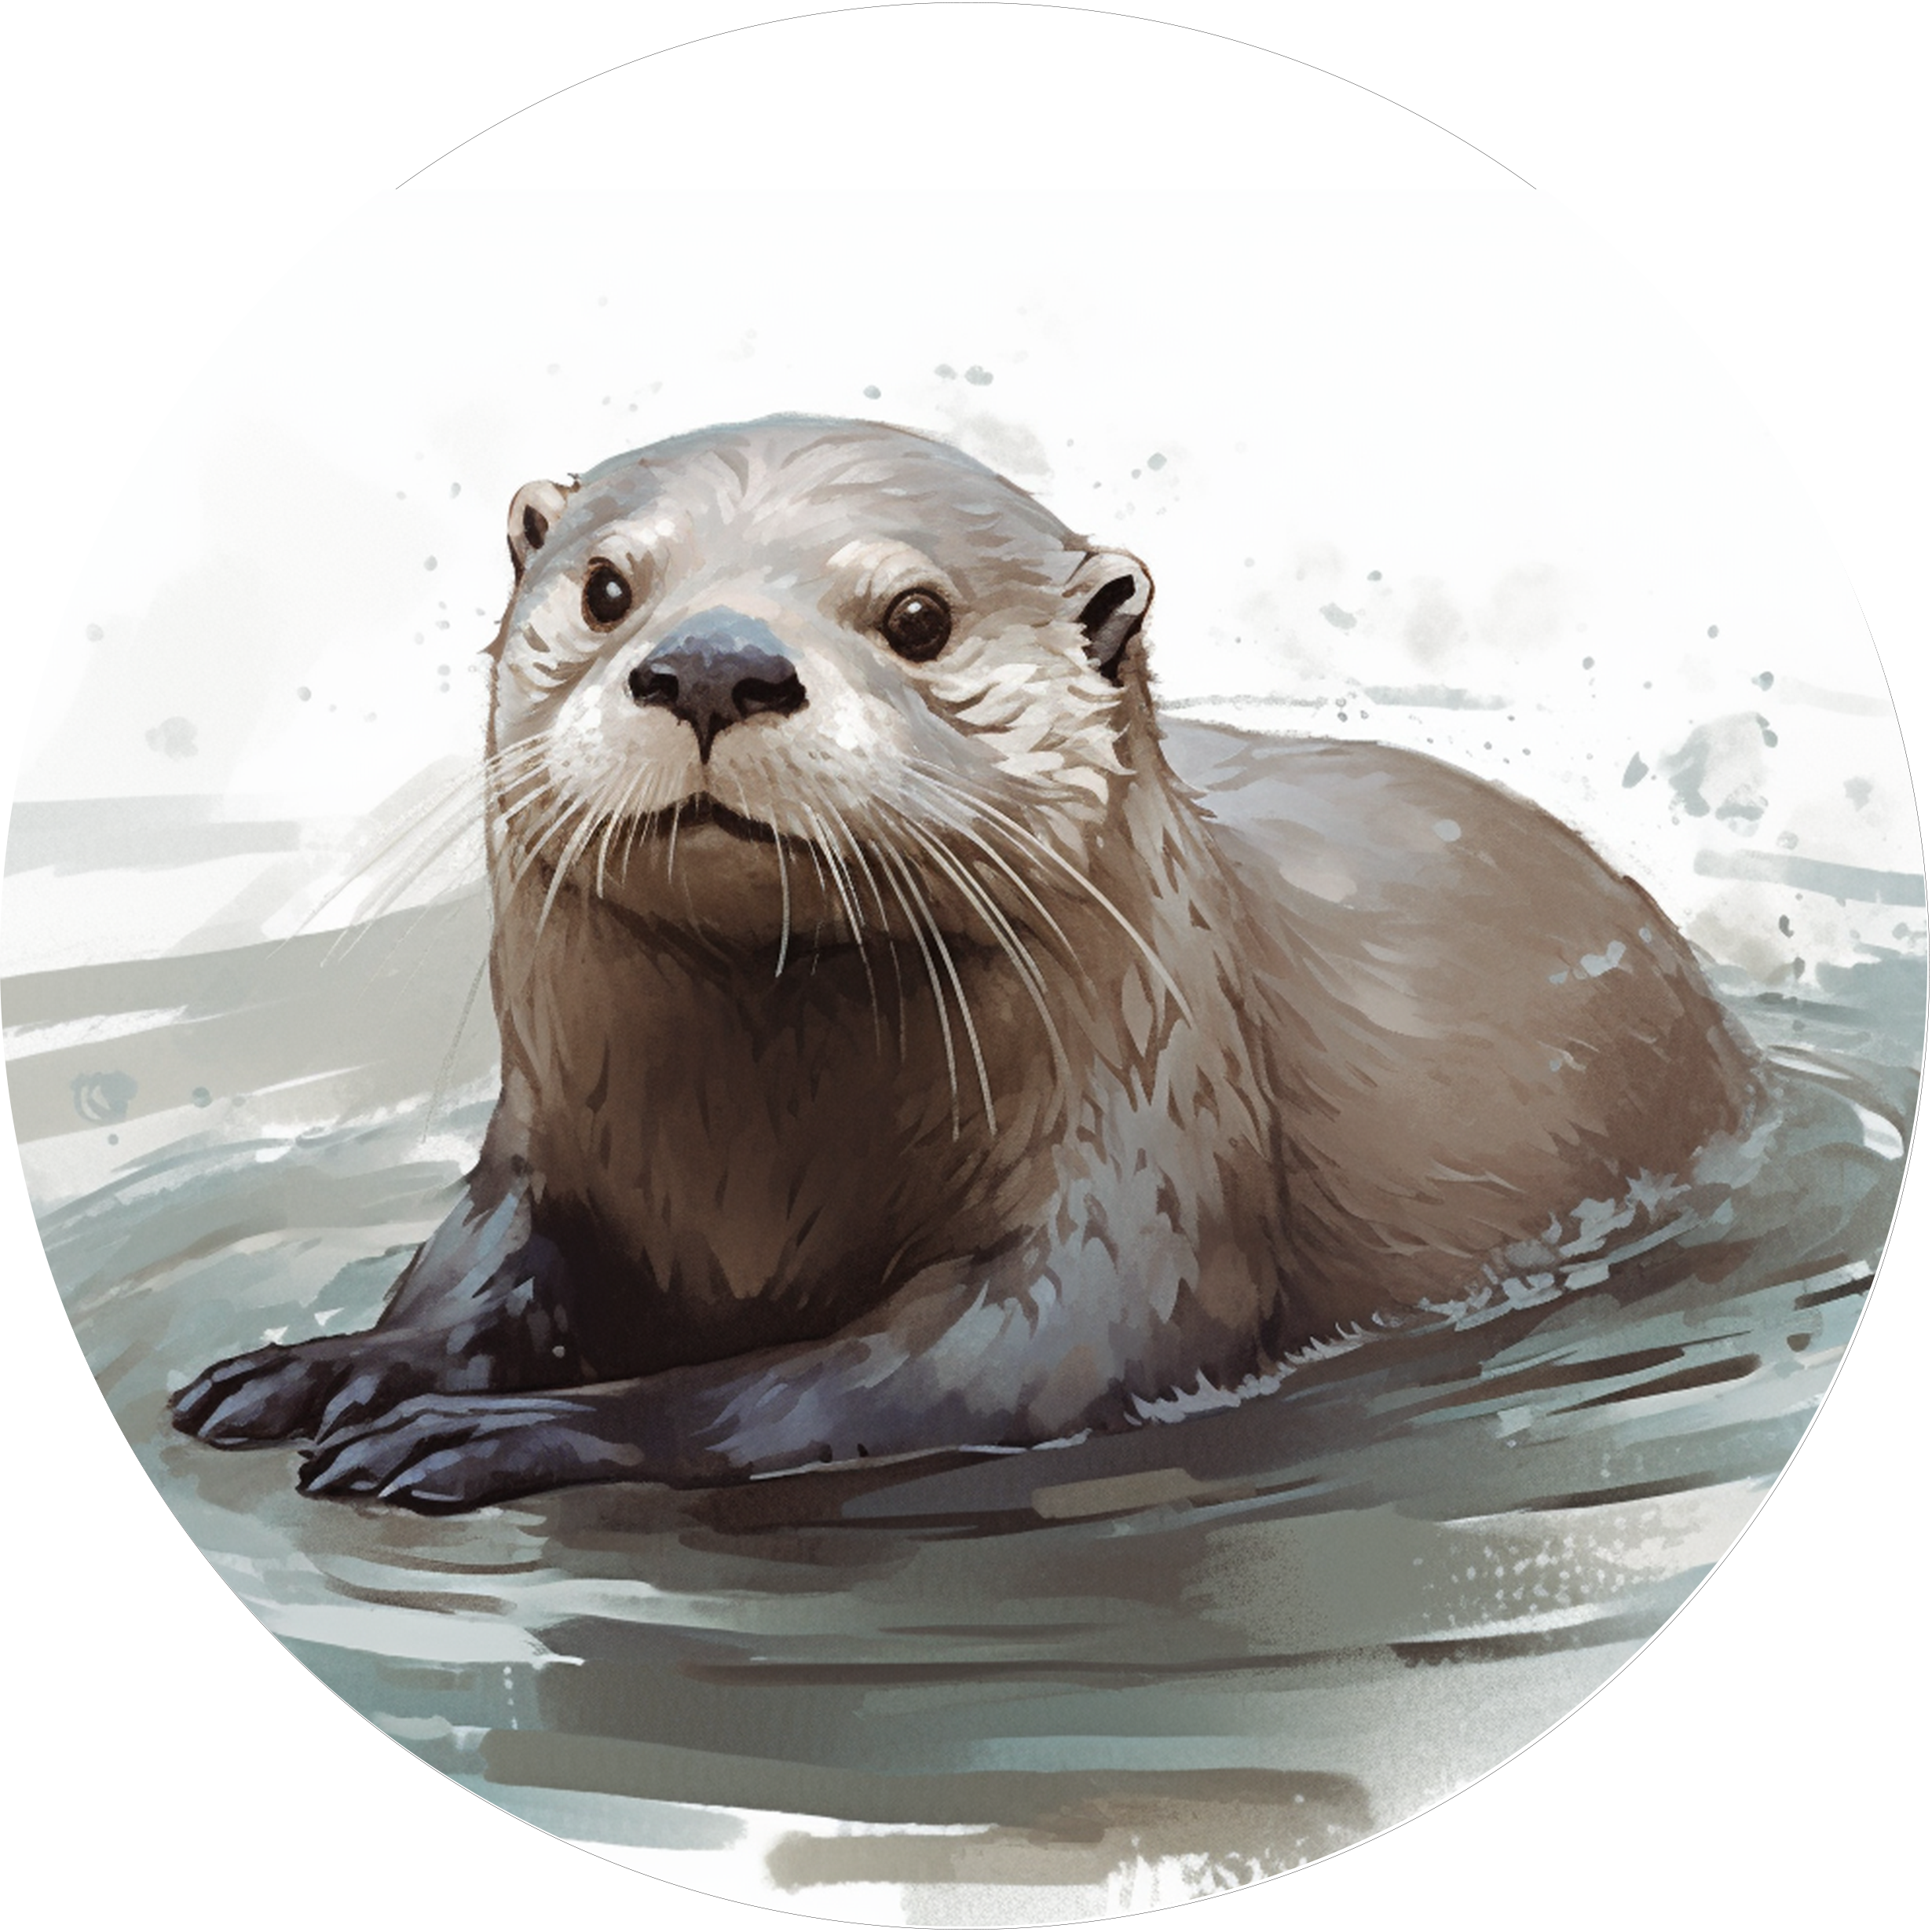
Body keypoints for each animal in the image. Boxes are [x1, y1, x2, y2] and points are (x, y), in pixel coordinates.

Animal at [171, 415, 1755, 1512]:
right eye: (608, 588)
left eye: (919, 618)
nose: (713, 664)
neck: (756, 1156)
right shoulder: (544, 1143)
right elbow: (484, 1261)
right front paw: (332, 1364)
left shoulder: (1148, 1161)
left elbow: (983, 1368)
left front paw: (510, 1429)